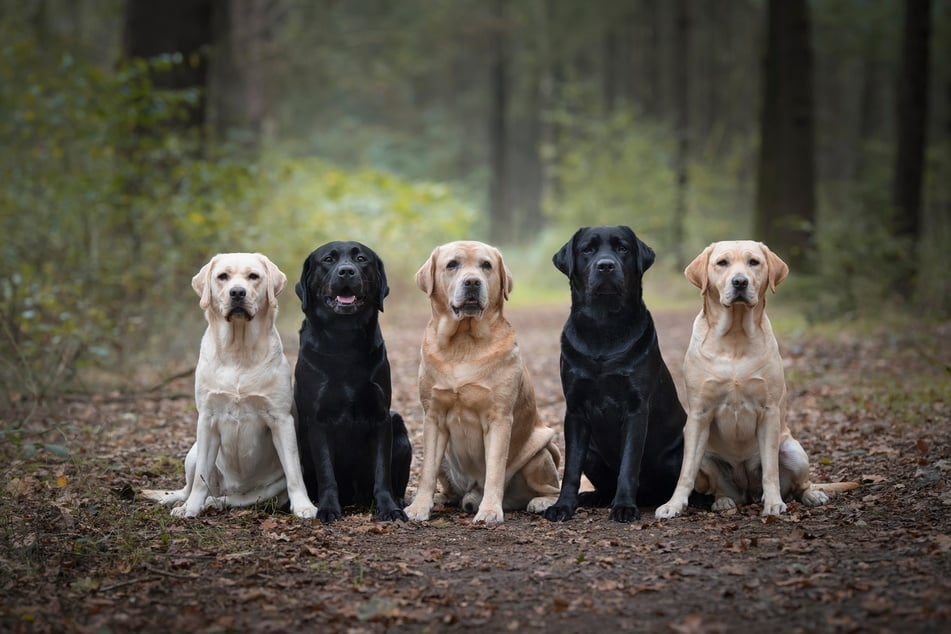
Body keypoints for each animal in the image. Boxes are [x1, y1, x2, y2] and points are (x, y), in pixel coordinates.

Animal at [143, 252, 318, 520]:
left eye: (254, 276)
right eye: (222, 276)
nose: (237, 292)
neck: (239, 351)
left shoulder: (281, 420)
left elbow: (294, 474)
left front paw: (303, 506)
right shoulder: (207, 419)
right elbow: (200, 480)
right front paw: (190, 509)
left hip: (264, 490)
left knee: (239, 499)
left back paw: (214, 503)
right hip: (193, 453)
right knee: (189, 486)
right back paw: (183, 501)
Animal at [294, 239, 412, 520]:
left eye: (361, 259)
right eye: (328, 259)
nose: (346, 271)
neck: (343, 340)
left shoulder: (381, 417)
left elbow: (382, 472)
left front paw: (389, 508)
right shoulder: (317, 421)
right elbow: (326, 472)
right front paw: (327, 508)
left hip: (399, 427)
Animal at [404, 239, 564, 520]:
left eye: (486, 265)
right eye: (452, 265)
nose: (472, 282)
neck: (463, 342)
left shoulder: (499, 418)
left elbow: (495, 471)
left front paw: (489, 510)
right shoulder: (433, 417)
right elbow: (427, 472)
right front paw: (419, 507)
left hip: (541, 452)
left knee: (553, 488)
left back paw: (540, 502)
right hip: (446, 458)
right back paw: (444, 499)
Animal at [544, 225, 684, 520]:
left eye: (623, 248)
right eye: (587, 249)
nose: (606, 265)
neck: (604, 325)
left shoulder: (636, 409)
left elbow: (629, 465)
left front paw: (624, 507)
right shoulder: (575, 409)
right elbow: (570, 469)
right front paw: (563, 506)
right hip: (592, 454)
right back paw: (591, 497)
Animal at [660, 242, 844, 520]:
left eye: (754, 262)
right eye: (722, 263)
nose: (739, 282)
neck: (735, 335)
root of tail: (748, 494)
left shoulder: (768, 411)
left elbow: (770, 470)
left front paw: (774, 503)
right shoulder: (699, 414)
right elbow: (685, 472)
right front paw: (673, 505)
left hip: (792, 449)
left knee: (800, 484)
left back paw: (811, 495)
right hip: (707, 457)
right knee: (716, 486)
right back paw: (723, 501)